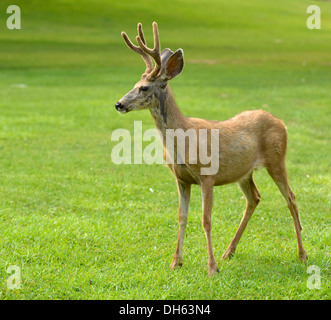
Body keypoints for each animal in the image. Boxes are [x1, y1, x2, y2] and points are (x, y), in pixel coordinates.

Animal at [116, 21, 308, 276]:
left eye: (145, 88)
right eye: (134, 84)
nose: (119, 104)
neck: (182, 140)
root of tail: (281, 123)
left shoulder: (206, 175)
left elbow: (206, 220)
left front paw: (211, 268)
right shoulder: (181, 178)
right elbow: (181, 217)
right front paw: (176, 262)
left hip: (277, 159)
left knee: (291, 198)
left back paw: (302, 255)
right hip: (244, 173)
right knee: (254, 198)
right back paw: (229, 252)